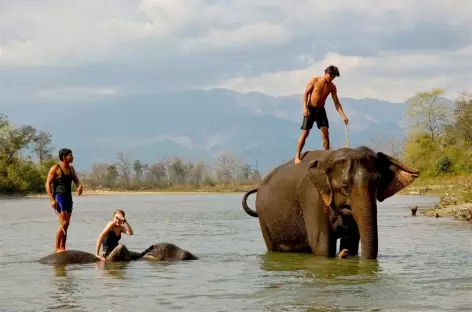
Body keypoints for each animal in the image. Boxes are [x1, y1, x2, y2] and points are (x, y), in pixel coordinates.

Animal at [242, 147, 418, 260]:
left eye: (377, 184)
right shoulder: (312, 199)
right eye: (345, 188)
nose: (344, 254)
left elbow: (352, 241)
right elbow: (322, 246)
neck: (332, 156)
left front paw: (348, 251)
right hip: (264, 220)